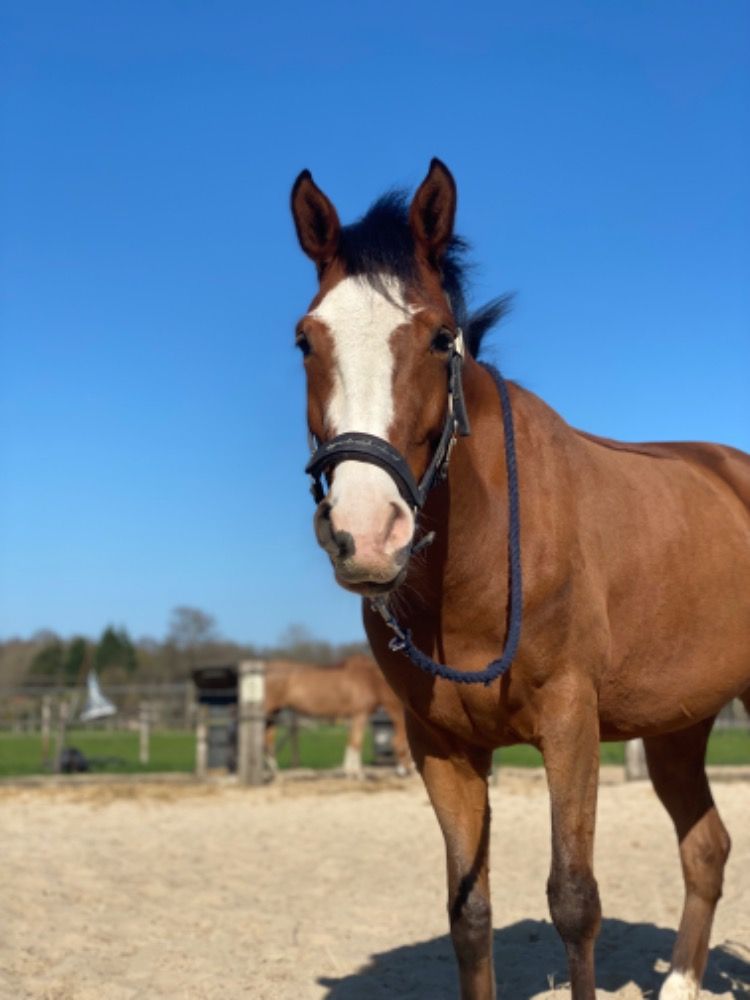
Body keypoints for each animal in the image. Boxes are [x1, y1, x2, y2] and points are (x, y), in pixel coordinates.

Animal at [264, 655, 411, 775]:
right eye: (406, 747)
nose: (408, 770)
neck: (370, 680)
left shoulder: (354, 717)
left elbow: (351, 741)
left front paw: (349, 771)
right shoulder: (360, 715)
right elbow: (356, 742)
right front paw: (356, 773)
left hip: (274, 712)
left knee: (269, 738)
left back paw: (274, 771)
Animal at [289, 158, 750, 1000]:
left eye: (439, 337)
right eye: (306, 339)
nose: (365, 535)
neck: (477, 562)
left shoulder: (571, 725)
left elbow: (574, 901)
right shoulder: (439, 745)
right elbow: (468, 912)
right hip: (679, 723)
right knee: (706, 848)